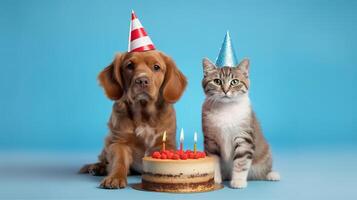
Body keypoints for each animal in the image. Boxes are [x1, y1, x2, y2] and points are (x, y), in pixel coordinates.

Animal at [79, 50, 186, 189]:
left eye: (156, 67)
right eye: (129, 66)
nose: (142, 80)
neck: (143, 115)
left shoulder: (165, 143)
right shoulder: (119, 141)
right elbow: (119, 161)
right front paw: (115, 178)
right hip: (108, 141)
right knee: (104, 159)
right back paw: (98, 167)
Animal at [200, 57, 278, 188]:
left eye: (234, 82)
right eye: (217, 81)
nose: (225, 90)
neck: (226, 109)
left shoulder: (244, 137)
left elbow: (241, 161)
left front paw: (238, 181)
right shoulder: (211, 139)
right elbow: (213, 160)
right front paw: (215, 179)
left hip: (265, 156)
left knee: (264, 171)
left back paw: (272, 175)